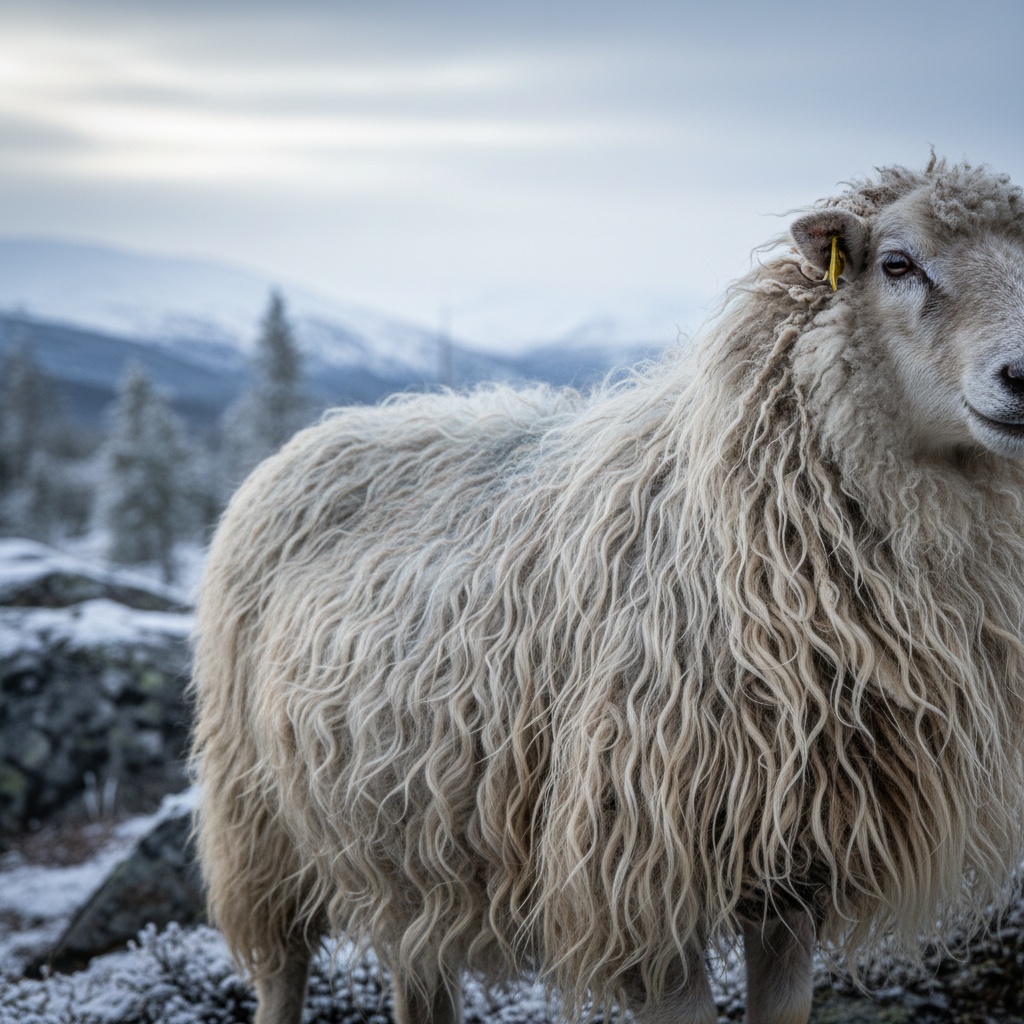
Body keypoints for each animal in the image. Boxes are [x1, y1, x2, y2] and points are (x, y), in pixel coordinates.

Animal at [190, 157, 1024, 1024]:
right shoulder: (638, 881)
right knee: (283, 966)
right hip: (256, 816)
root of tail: (325, 430)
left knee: (418, 976)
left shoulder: (796, 873)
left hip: (408, 841)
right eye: (898, 263)